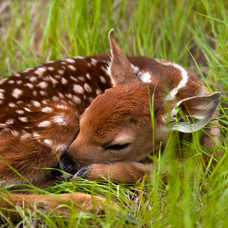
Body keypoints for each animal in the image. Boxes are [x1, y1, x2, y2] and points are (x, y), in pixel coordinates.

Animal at [0, 29, 221, 220]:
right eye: (82, 121)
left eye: (118, 145)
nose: (63, 165)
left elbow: (188, 170)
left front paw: (91, 173)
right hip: (54, 126)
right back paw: (100, 207)